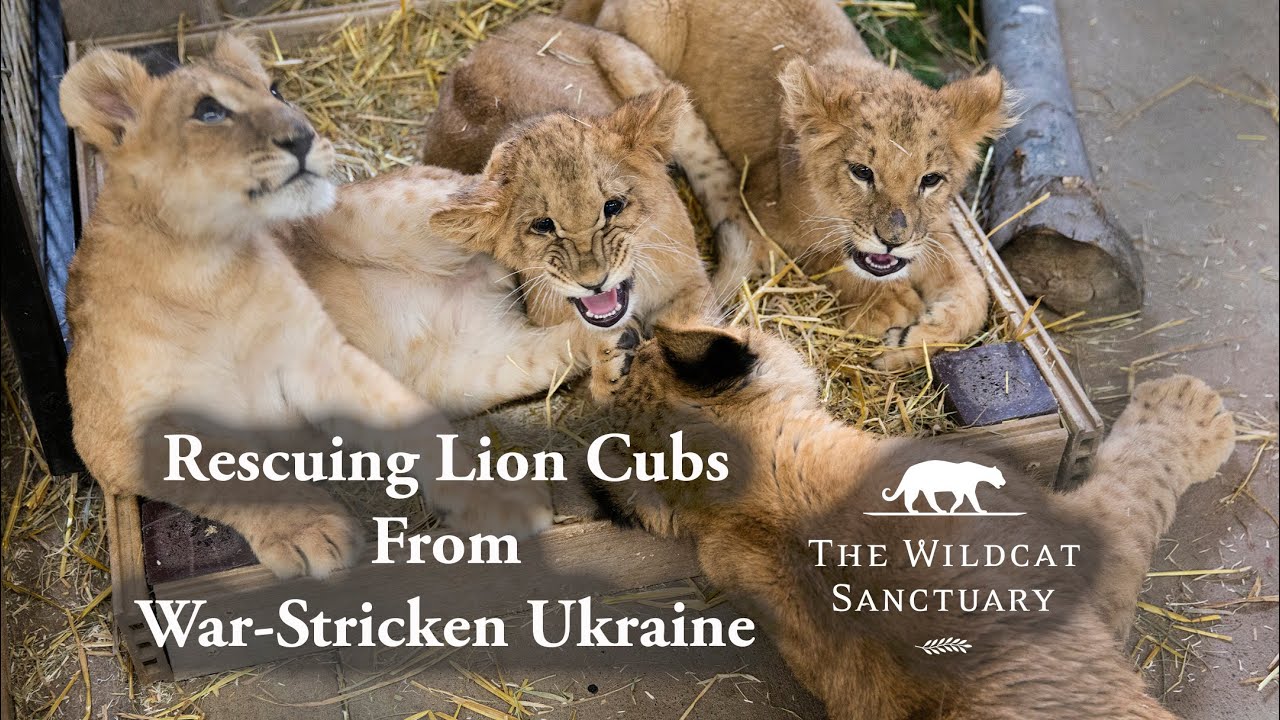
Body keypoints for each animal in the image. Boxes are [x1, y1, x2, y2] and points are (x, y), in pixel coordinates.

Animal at [60, 35, 552, 580]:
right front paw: (308, 532)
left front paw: (495, 498)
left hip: (406, 213)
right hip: (476, 368)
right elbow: (230, 473)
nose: (303, 136)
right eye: (209, 112)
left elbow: (416, 426)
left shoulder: (317, 357)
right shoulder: (112, 438)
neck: (208, 271)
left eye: (275, 90)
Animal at [564, 0, 1011, 369]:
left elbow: (976, 289)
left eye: (930, 180)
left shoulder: (934, 229)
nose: (891, 241)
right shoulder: (763, 210)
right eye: (862, 172)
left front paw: (910, 341)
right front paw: (887, 306)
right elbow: (825, 255)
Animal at [584, 323, 1235, 718]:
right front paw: (1188, 410)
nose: (625, 333)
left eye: (631, 357)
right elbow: (1137, 486)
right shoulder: (1080, 551)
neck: (757, 500)